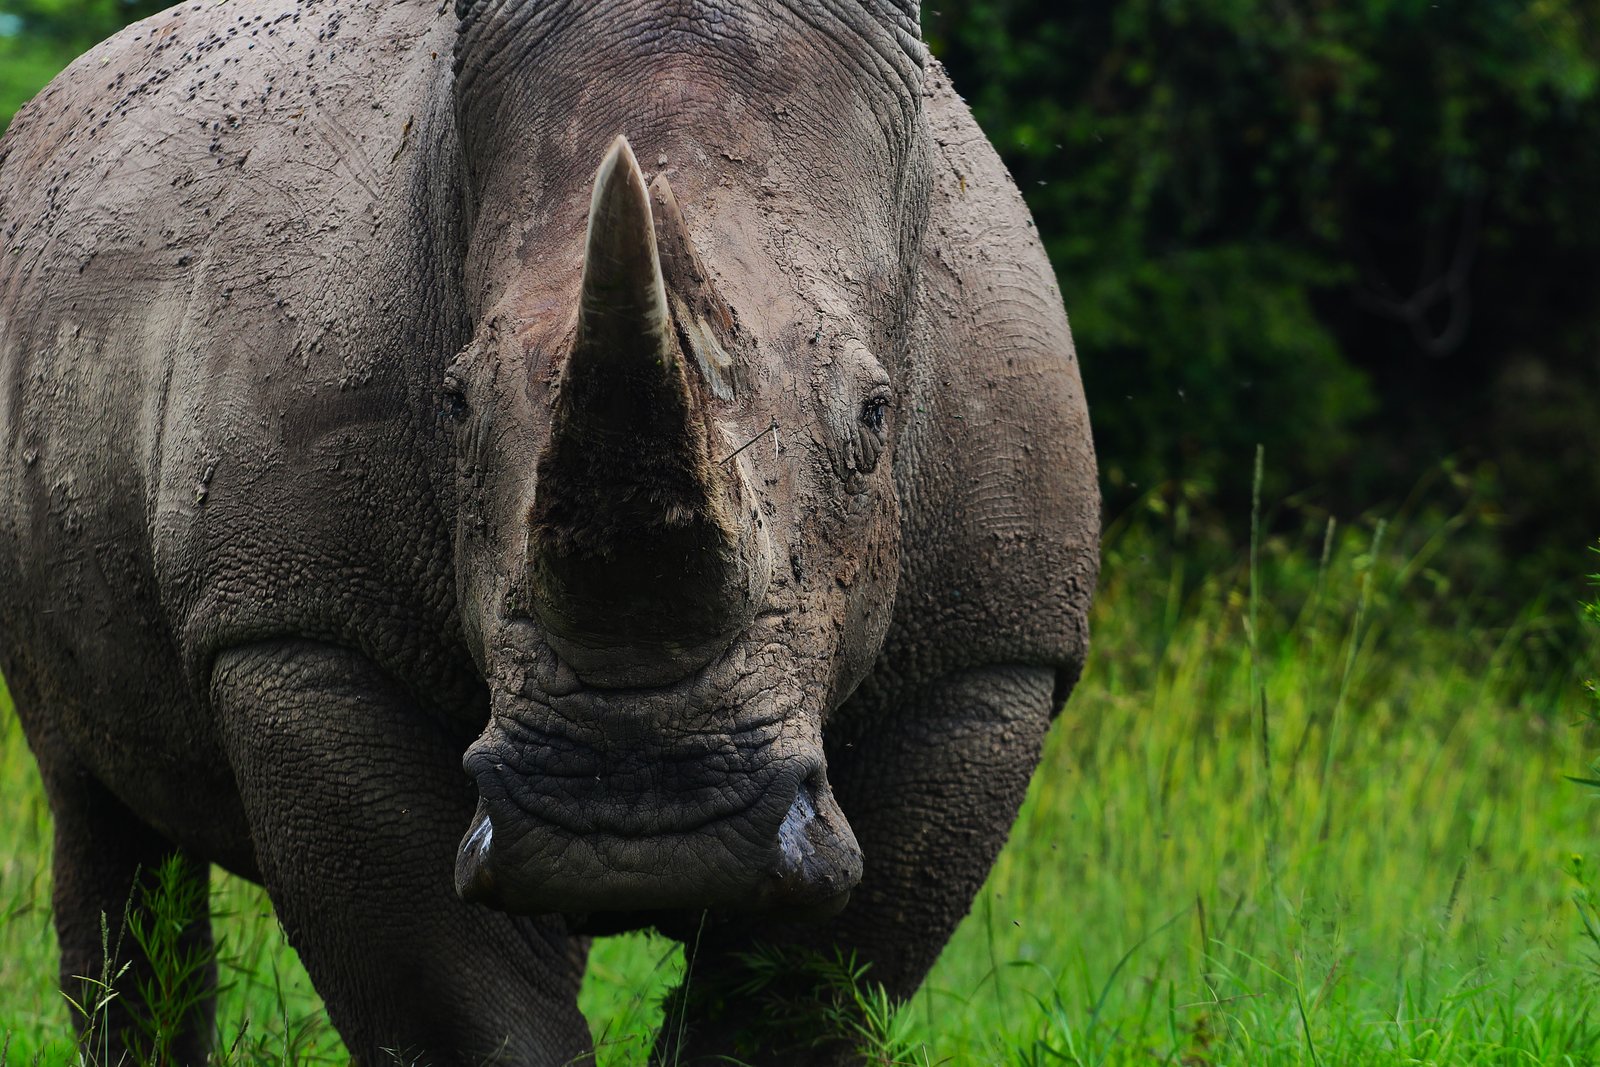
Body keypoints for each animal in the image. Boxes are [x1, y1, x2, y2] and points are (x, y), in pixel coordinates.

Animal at [0, 0, 1097, 1063]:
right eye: (454, 402)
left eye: (876, 415)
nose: (642, 817)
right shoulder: (294, 627)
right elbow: (464, 1010)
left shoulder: (987, 653)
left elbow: (798, 1003)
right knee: (93, 807)